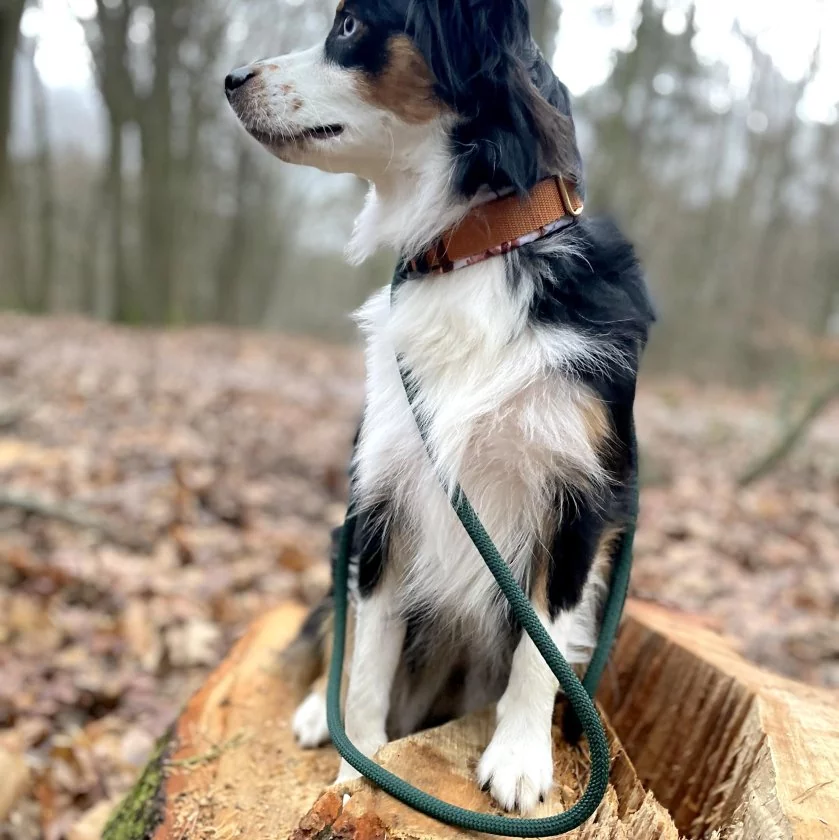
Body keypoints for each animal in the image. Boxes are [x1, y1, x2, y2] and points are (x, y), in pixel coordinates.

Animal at [225, 0, 656, 812]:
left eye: (349, 27)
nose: (231, 78)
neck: (476, 252)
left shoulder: (580, 505)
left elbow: (541, 650)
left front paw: (519, 759)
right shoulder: (383, 497)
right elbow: (366, 662)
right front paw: (357, 773)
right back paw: (317, 711)